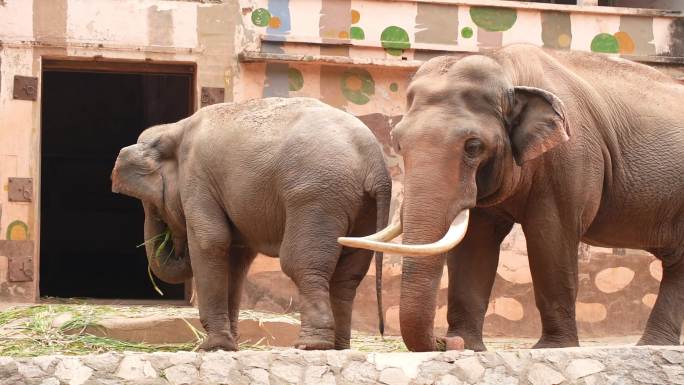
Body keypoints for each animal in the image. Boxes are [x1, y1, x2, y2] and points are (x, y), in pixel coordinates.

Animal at [340, 44, 684, 352]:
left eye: (473, 146)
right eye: (397, 142)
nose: (445, 342)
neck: (506, 68)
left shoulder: (570, 159)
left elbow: (551, 240)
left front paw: (552, 348)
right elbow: (474, 244)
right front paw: (471, 346)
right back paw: (653, 345)